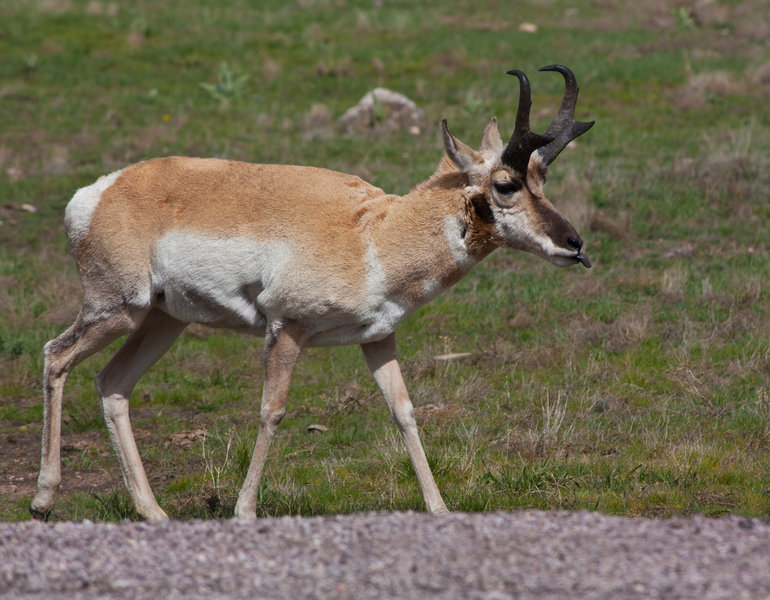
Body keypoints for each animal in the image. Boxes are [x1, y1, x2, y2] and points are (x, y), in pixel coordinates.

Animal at [31, 62, 592, 520]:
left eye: (542, 177)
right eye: (505, 184)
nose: (576, 245)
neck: (374, 233)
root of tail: (98, 193)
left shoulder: (378, 340)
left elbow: (404, 412)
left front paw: (439, 509)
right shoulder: (286, 330)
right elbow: (271, 411)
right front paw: (244, 511)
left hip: (163, 322)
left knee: (112, 384)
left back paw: (153, 512)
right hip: (118, 311)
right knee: (55, 356)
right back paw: (42, 500)